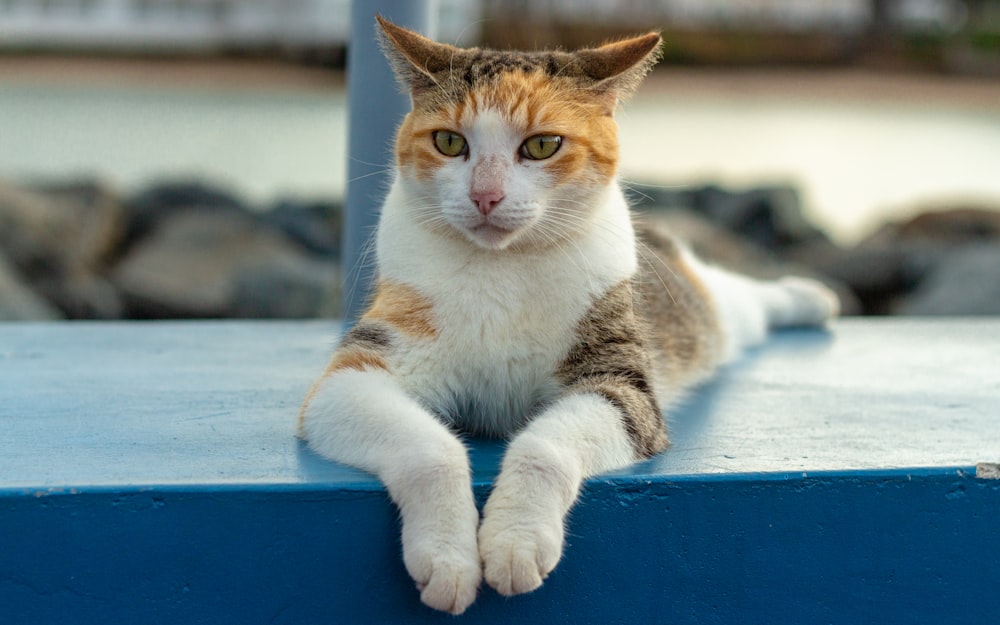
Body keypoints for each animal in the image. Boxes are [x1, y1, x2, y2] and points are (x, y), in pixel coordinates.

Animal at [296, 15, 836, 616]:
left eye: (542, 145)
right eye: (449, 142)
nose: (485, 196)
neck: (502, 267)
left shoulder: (620, 383)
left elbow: (545, 446)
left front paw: (515, 541)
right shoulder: (356, 374)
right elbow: (430, 449)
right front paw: (448, 557)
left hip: (711, 313)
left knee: (741, 298)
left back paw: (810, 297)